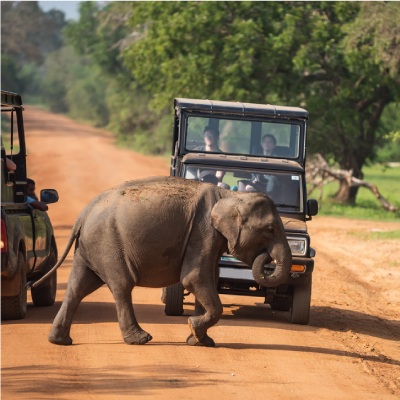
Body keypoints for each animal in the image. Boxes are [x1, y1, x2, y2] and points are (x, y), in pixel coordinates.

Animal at [28, 176, 290, 346]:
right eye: (270, 229)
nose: (266, 257)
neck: (231, 196)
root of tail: (82, 214)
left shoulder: (212, 239)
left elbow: (208, 278)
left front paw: (200, 340)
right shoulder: (203, 232)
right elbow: (194, 278)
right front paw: (194, 330)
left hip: (89, 247)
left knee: (78, 287)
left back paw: (60, 341)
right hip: (107, 243)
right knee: (121, 286)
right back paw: (140, 339)